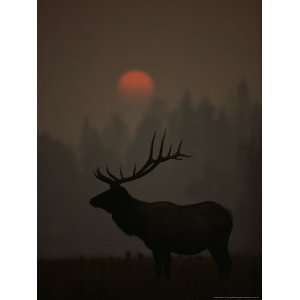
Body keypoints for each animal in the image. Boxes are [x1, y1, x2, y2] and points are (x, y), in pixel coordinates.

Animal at [90, 131, 233, 278]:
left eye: (111, 193)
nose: (91, 200)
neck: (140, 224)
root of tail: (229, 216)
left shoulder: (162, 245)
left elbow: (162, 271)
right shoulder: (158, 247)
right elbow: (161, 270)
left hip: (219, 242)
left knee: (226, 264)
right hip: (217, 244)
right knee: (223, 265)